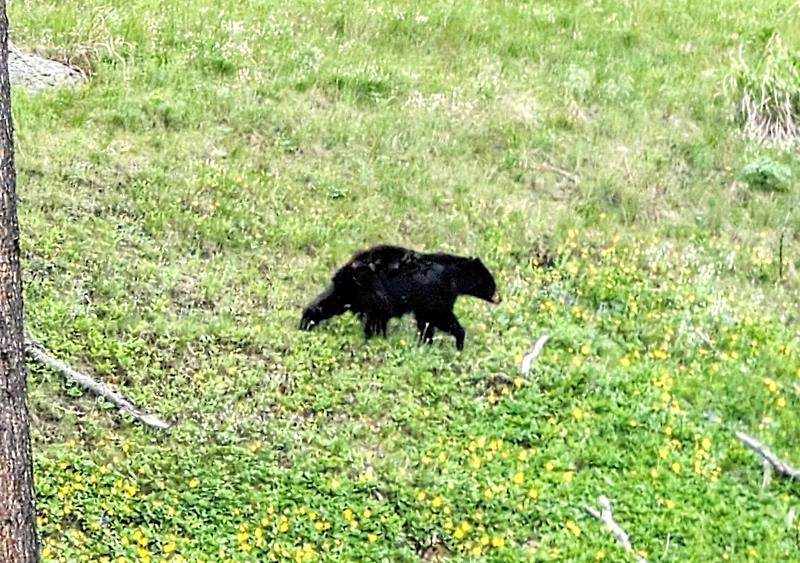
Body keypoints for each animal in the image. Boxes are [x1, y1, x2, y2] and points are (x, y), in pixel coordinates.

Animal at [300, 246, 500, 350]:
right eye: (492, 284)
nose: (499, 298)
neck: (454, 276)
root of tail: (349, 269)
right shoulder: (437, 292)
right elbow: (440, 316)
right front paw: (459, 340)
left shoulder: (425, 300)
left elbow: (425, 321)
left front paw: (425, 342)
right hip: (374, 293)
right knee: (375, 319)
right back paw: (377, 338)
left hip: (348, 292)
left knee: (327, 303)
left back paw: (306, 323)